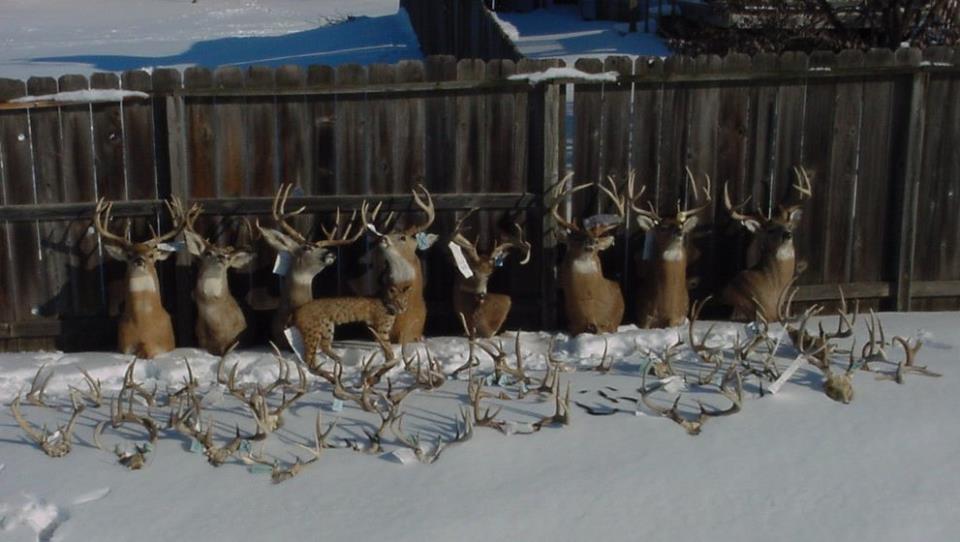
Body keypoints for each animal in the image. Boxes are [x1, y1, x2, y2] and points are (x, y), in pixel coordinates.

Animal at [94, 196, 190, 358]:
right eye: (129, 255)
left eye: (151, 255)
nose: (139, 260)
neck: (143, 323)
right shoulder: (125, 347)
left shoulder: (164, 346)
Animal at [630, 168, 712, 328]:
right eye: (663, 227)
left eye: (681, 224)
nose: (679, 232)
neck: (667, 305)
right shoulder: (644, 318)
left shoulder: (676, 318)